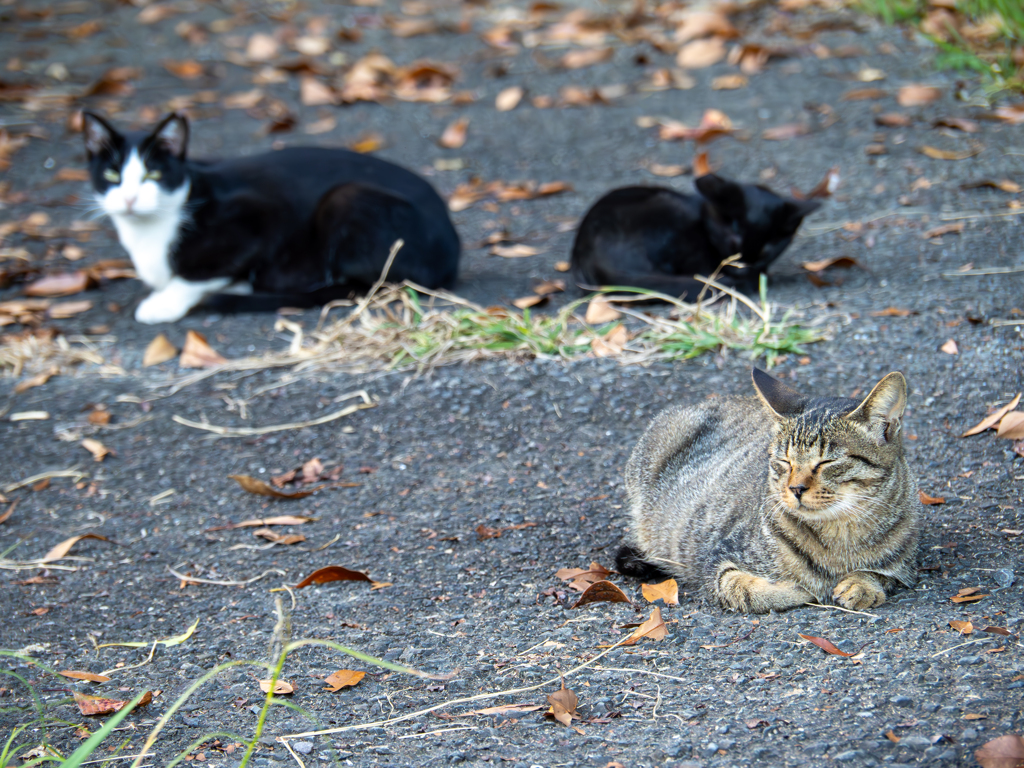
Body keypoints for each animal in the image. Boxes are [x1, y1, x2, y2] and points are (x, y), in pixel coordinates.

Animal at [83, 110, 460, 321]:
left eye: (153, 175)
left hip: (346, 197)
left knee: (369, 285)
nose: (129, 198)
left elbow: (193, 276)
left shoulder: (258, 219)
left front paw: (162, 305)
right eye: (112, 175)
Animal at [614, 370, 921, 618]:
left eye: (826, 462)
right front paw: (800, 588)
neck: (839, 534)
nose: (796, 488)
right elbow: (745, 590)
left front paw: (861, 585)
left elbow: (882, 574)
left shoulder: (904, 565)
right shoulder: (715, 561)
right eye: (784, 461)